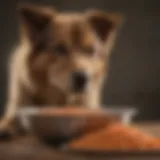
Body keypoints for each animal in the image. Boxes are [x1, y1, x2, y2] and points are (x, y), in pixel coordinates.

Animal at [0, 3, 124, 136]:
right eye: (59, 49)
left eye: (90, 51)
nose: (83, 78)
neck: (60, 101)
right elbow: (12, 118)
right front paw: (6, 127)